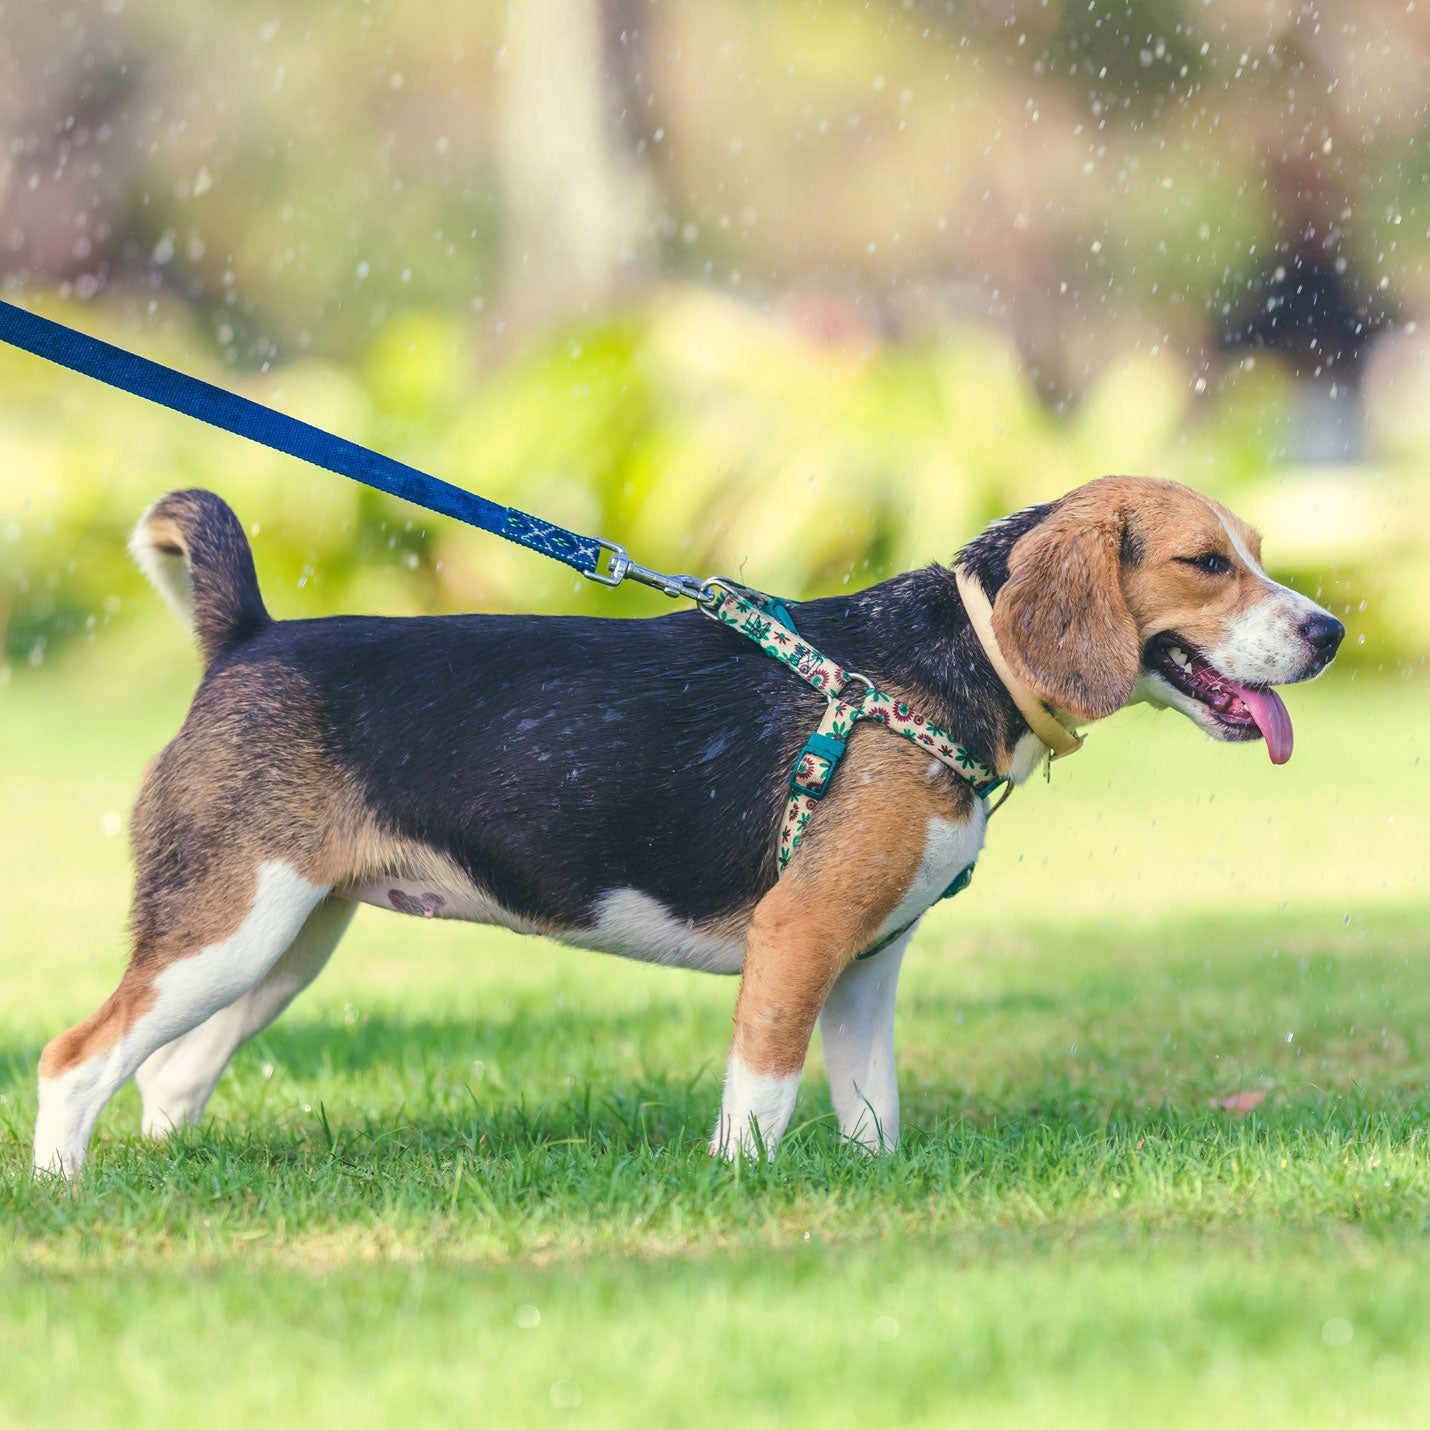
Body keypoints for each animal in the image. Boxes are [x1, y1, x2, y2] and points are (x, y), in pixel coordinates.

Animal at [36, 471, 1349, 1172]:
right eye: (1203, 562)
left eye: (1256, 554)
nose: (1332, 631)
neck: (948, 661)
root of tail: (248, 635)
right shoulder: (799, 935)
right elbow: (759, 1095)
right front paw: (742, 1189)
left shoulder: (866, 961)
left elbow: (870, 1106)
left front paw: (872, 1184)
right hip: (229, 930)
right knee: (75, 1057)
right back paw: (65, 1193)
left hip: (279, 943)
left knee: (167, 1073)